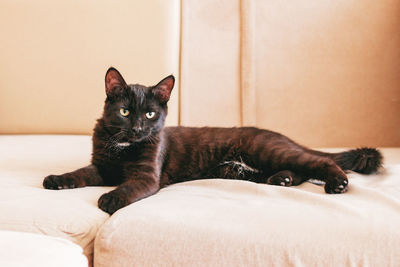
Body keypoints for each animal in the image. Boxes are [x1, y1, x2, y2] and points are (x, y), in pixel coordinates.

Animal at [42, 67, 382, 216]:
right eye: (125, 112)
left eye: (150, 114)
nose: (138, 128)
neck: (123, 147)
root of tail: (281, 136)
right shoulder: (102, 167)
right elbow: (81, 173)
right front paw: (57, 179)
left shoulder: (146, 176)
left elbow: (128, 187)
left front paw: (111, 199)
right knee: (298, 169)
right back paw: (282, 180)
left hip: (267, 150)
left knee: (318, 161)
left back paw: (337, 183)